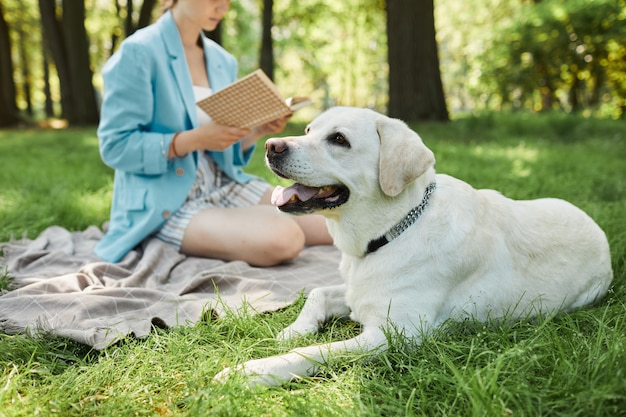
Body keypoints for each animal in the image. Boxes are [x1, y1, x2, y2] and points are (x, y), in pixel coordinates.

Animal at [213, 105, 608, 386]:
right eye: (309, 130)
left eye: (339, 139)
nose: (271, 146)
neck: (392, 231)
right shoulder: (356, 291)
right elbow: (317, 293)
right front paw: (293, 329)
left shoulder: (392, 334)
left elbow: (314, 352)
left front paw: (251, 372)